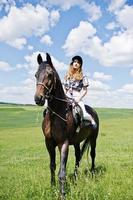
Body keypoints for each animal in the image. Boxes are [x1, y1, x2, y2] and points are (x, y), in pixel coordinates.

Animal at [34, 53, 98, 198]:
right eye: (36, 75)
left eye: (49, 74)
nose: (38, 98)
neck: (56, 113)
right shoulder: (49, 143)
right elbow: (52, 165)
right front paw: (53, 187)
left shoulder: (63, 144)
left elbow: (62, 171)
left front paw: (62, 193)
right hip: (77, 141)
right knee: (78, 157)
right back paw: (75, 177)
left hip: (93, 138)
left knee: (92, 154)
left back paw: (92, 173)